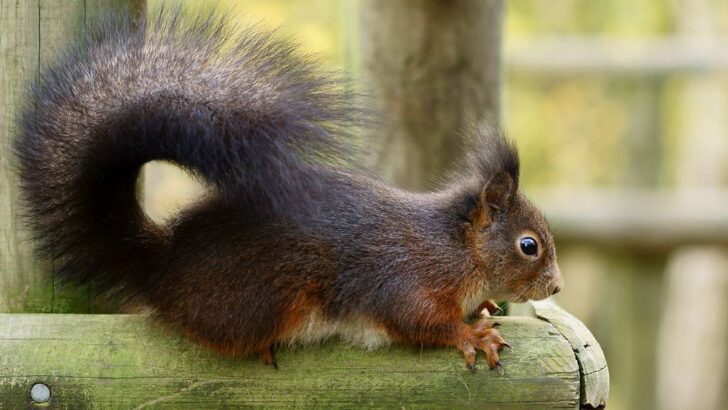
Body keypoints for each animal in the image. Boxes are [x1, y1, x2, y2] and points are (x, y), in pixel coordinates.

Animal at [14, 8, 563, 371]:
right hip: (259, 302)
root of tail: (157, 262)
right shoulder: (407, 275)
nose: (556, 287)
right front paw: (472, 334)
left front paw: (485, 308)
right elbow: (418, 320)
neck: (455, 246)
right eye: (528, 245)